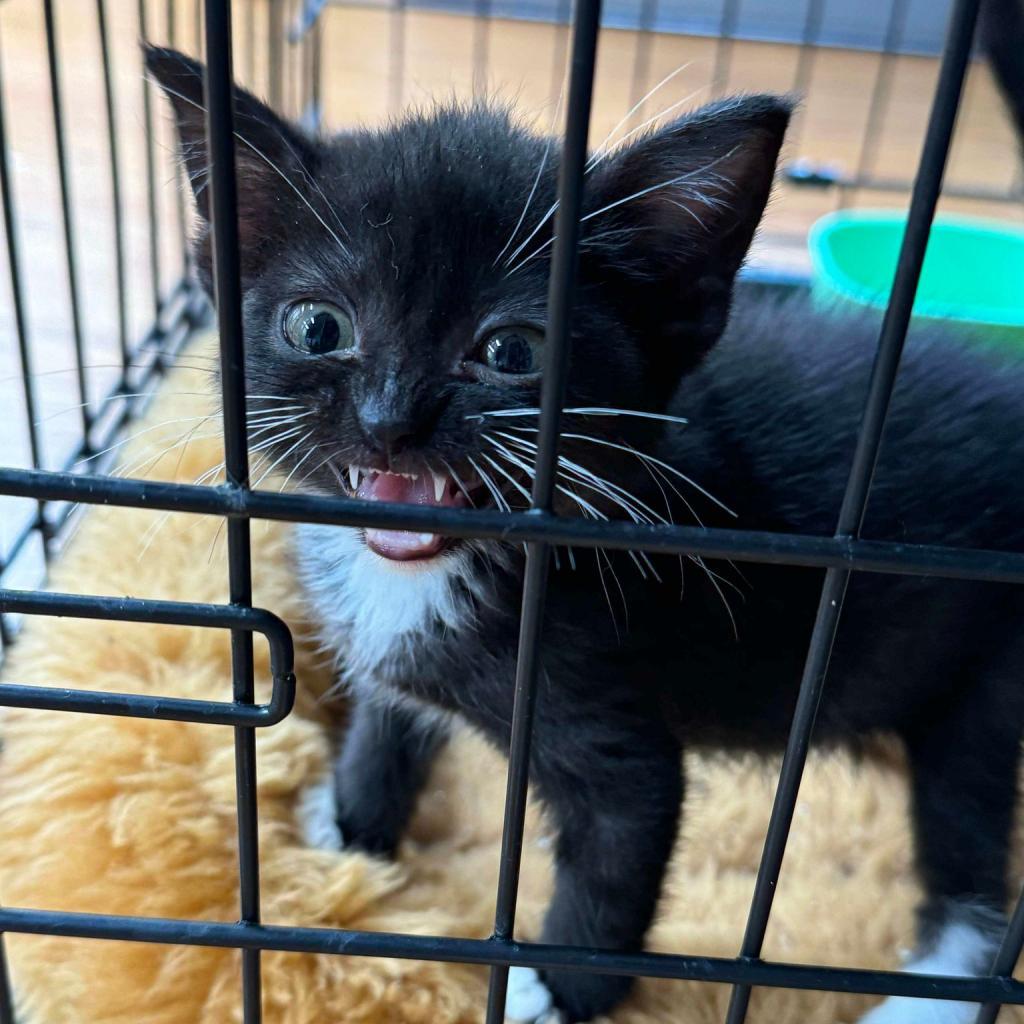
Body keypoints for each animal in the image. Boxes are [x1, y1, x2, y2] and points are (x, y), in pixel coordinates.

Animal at [148, 41, 1024, 1024]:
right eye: (317, 326)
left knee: (969, 836)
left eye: (512, 353)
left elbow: (618, 846)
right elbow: (384, 731)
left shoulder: (607, 715)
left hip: (990, 676)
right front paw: (352, 832)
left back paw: (933, 993)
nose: (388, 421)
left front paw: (557, 991)